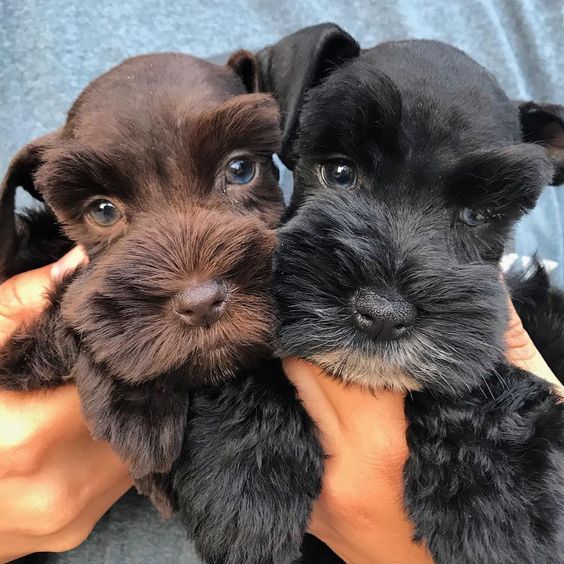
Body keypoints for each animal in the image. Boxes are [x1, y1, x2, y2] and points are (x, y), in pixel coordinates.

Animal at [258, 24, 564, 560]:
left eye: (477, 215)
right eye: (340, 172)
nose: (382, 314)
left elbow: (475, 376)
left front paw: (497, 511)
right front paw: (249, 483)